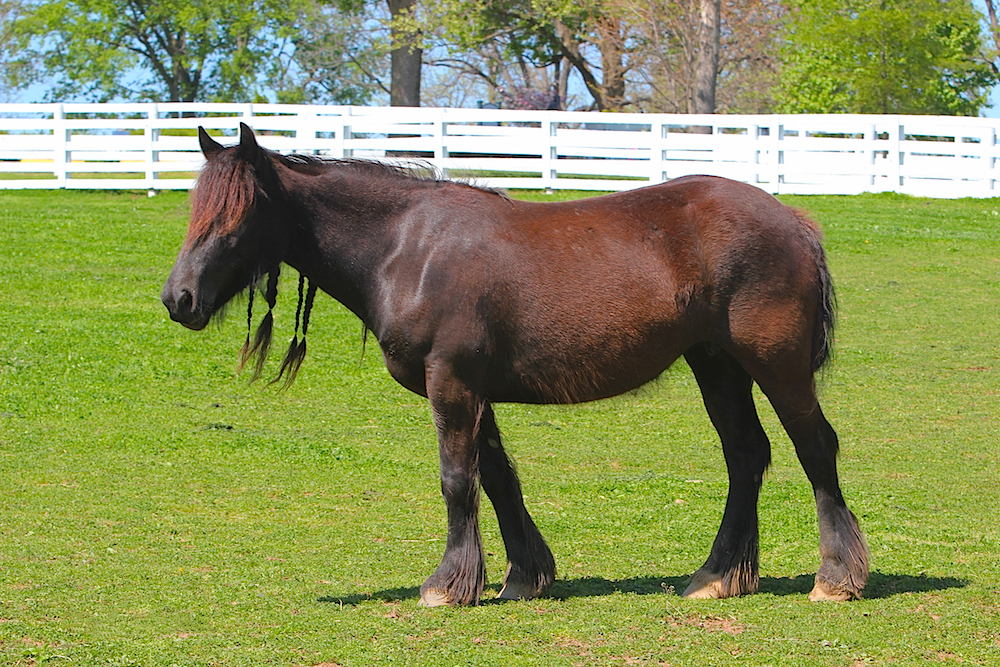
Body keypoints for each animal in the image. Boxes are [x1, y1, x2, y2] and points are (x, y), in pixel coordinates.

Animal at [162, 122, 868, 608]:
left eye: (236, 215)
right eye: (195, 210)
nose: (179, 299)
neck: (406, 249)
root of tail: (793, 219)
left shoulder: (450, 385)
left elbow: (458, 480)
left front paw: (448, 585)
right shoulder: (474, 391)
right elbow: (499, 479)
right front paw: (524, 575)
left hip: (775, 367)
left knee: (815, 449)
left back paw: (836, 577)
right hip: (717, 365)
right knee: (746, 455)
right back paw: (718, 576)